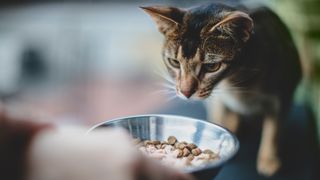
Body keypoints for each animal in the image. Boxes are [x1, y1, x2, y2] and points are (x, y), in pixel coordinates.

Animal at [141, 1, 302, 177]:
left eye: (212, 66)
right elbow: (218, 115)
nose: (185, 92)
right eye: (174, 62)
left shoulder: (282, 95)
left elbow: (273, 131)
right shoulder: (217, 100)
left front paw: (268, 160)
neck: (236, 82)